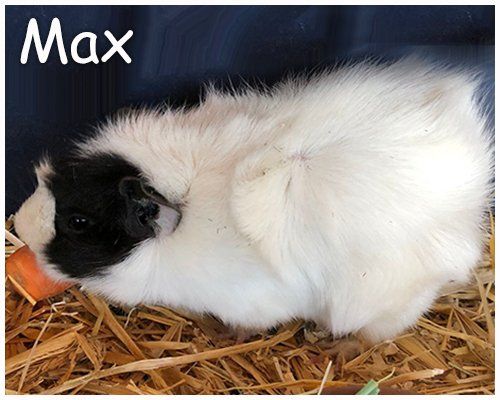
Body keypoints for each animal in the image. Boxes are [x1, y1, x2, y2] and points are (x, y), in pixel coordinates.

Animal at [14, 56, 493, 343]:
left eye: (78, 222)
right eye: (49, 180)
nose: (19, 223)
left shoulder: (249, 303)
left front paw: (220, 332)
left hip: (383, 306)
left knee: (370, 334)